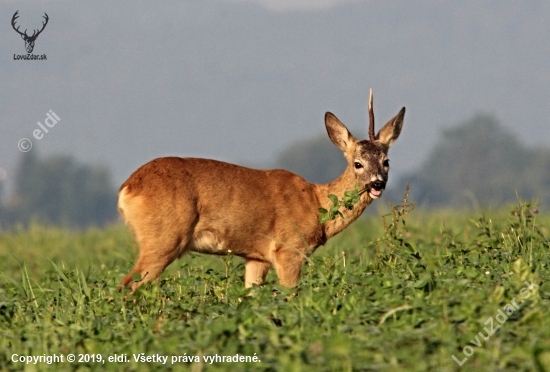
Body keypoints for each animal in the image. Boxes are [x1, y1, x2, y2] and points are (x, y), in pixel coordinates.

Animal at [119, 88, 406, 292]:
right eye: (357, 163)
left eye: (386, 161)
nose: (377, 183)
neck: (316, 204)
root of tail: (128, 187)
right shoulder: (288, 249)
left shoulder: (257, 258)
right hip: (164, 239)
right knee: (127, 287)